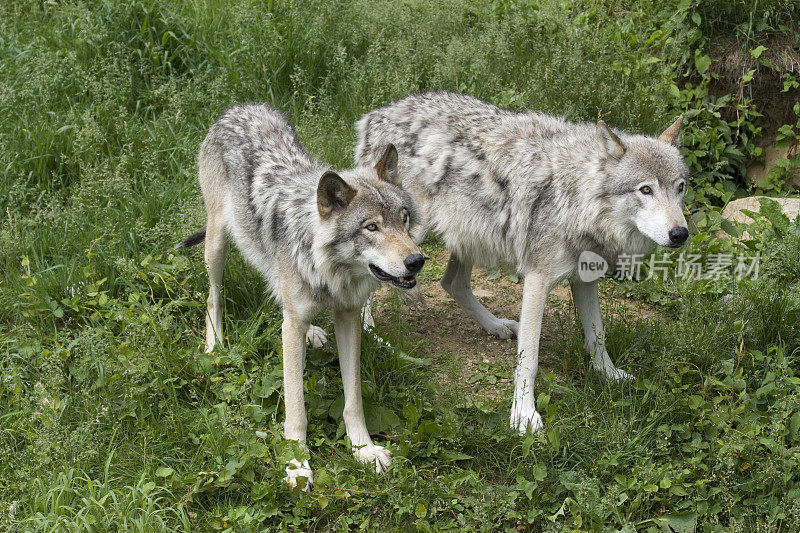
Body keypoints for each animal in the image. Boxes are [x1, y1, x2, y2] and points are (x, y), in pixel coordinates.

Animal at [176, 102, 424, 488]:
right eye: (371, 227)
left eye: (404, 219)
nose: (417, 261)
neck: (330, 272)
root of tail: (239, 107)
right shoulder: (293, 329)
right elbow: (297, 410)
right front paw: (297, 465)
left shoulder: (348, 316)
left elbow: (353, 400)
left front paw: (364, 450)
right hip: (216, 242)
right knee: (213, 297)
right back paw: (215, 344)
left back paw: (312, 333)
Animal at [356, 90, 688, 432]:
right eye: (645, 190)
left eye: (680, 188)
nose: (680, 234)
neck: (575, 197)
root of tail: (378, 113)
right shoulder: (537, 281)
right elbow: (529, 359)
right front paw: (524, 414)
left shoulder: (584, 278)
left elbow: (597, 334)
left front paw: (608, 375)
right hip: (407, 241)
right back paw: (374, 339)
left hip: (468, 236)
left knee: (452, 283)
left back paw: (496, 325)